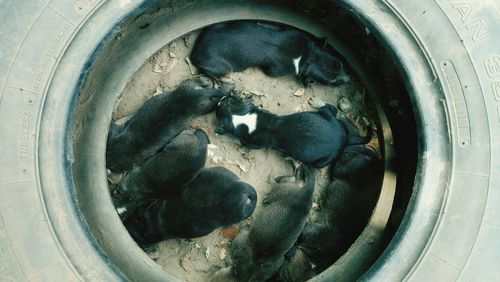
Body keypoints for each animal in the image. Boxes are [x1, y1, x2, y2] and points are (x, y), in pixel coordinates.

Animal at [191, 21, 352, 86]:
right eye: (332, 81)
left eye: (340, 63)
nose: (349, 79)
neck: (305, 55)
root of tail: (195, 52)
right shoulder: (277, 68)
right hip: (222, 67)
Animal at [215, 96, 372, 169]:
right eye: (229, 99)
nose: (221, 98)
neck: (245, 119)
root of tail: (344, 138)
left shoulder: (255, 143)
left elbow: (243, 141)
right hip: (329, 118)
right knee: (330, 108)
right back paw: (317, 102)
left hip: (322, 162)